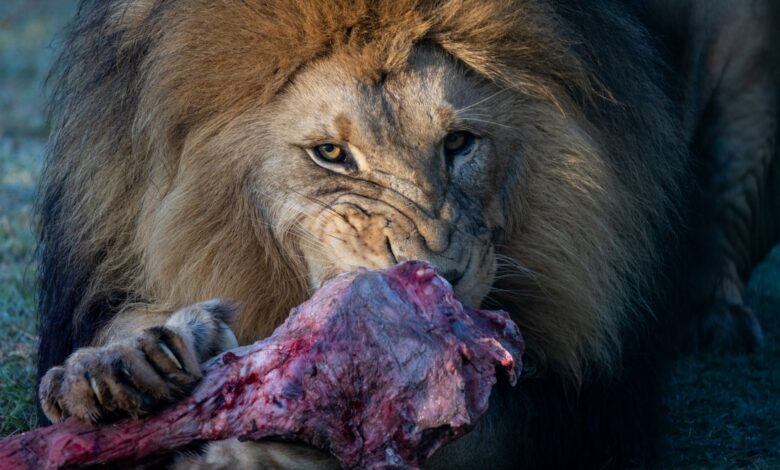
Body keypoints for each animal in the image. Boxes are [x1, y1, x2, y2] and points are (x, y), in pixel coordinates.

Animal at [35, 0, 778, 468]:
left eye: (458, 144)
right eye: (330, 155)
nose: (433, 283)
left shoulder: (585, 406)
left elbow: (471, 435)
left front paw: (284, 445)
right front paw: (119, 364)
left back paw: (717, 319)